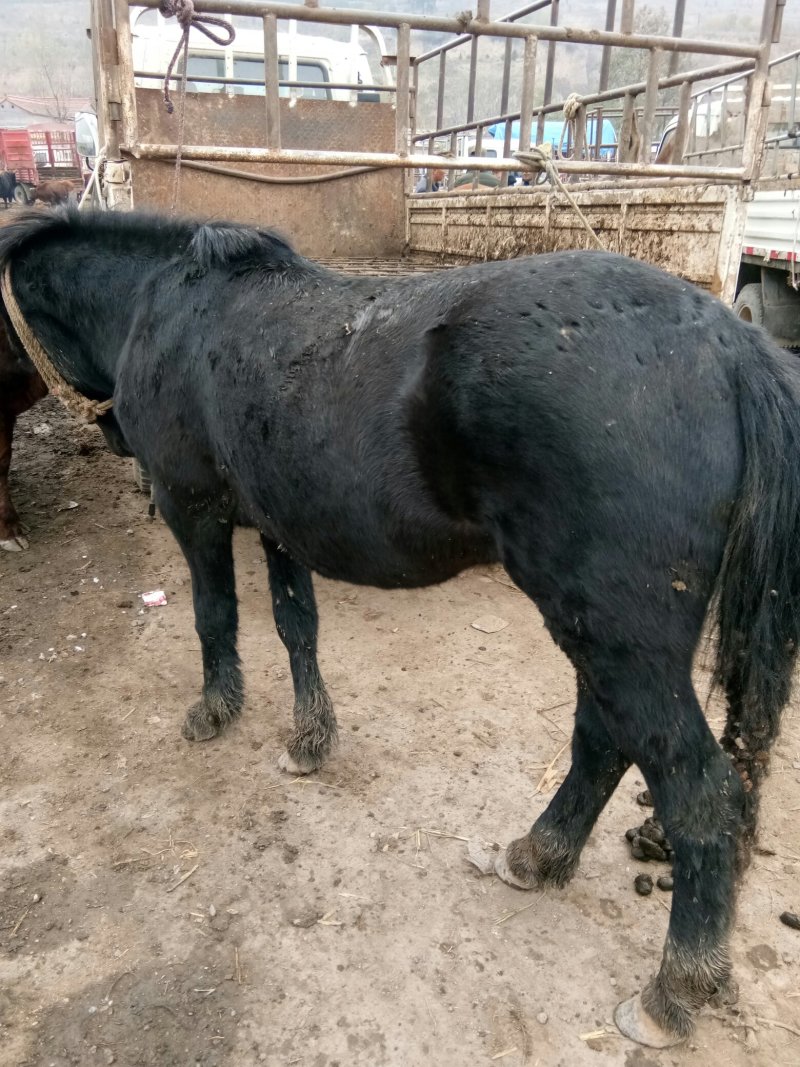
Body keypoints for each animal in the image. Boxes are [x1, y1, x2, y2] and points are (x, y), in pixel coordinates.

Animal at [1, 207, 799, 1048]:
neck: (165, 303)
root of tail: (730, 348)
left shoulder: (196, 512)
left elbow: (214, 616)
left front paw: (215, 709)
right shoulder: (279, 527)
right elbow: (296, 627)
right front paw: (310, 737)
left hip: (616, 636)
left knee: (700, 792)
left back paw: (671, 987)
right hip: (603, 632)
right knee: (604, 741)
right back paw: (539, 854)